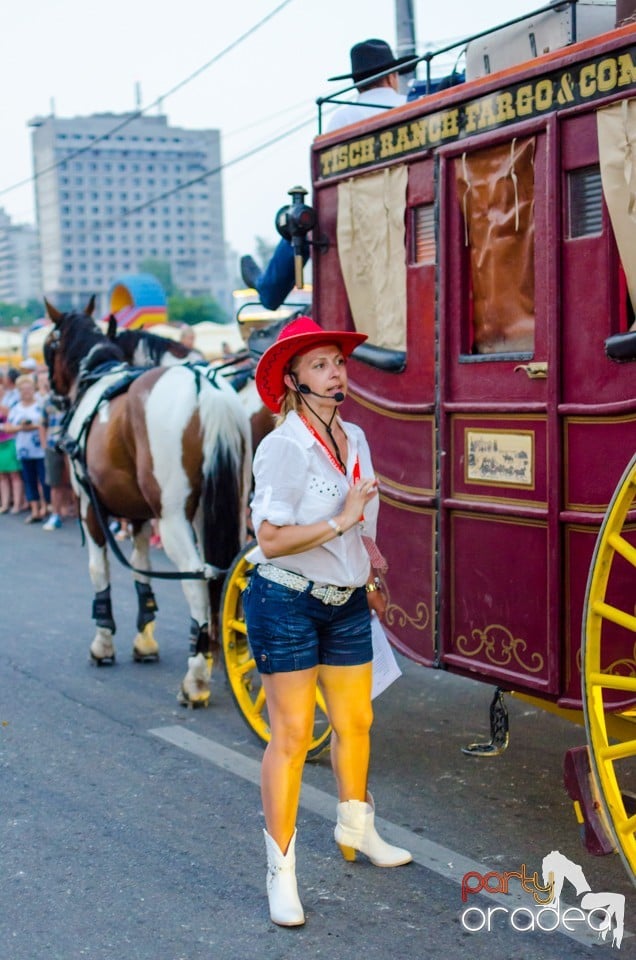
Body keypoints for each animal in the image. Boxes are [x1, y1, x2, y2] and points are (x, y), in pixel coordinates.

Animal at [43, 298, 252, 704]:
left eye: (48, 345)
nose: (54, 396)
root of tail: (205, 385)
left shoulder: (89, 507)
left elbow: (99, 571)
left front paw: (103, 643)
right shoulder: (139, 514)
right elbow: (142, 569)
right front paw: (144, 640)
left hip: (172, 519)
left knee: (197, 577)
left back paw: (196, 676)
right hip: (235, 505)